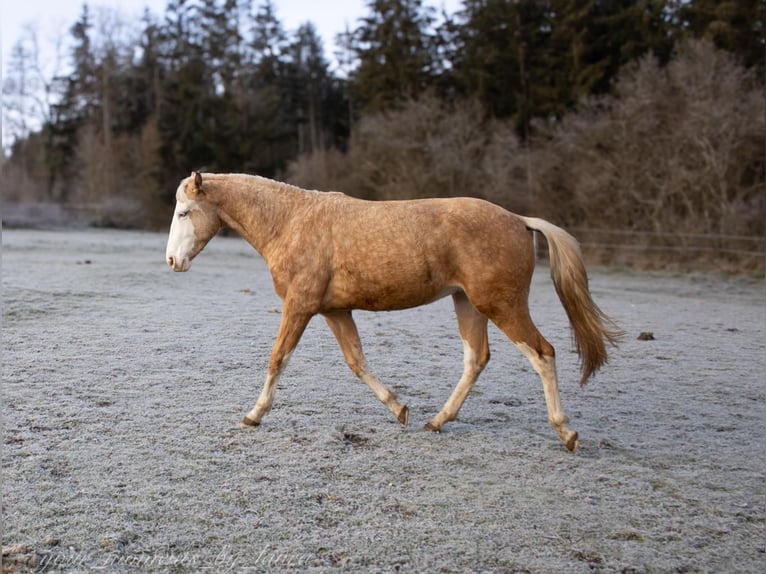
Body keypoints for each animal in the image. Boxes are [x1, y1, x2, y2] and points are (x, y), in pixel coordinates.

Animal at [165, 173, 620, 452]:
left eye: (184, 212)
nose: (172, 261)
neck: (292, 221)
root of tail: (519, 220)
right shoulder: (335, 311)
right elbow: (357, 362)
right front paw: (398, 408)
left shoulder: (300, 305)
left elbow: (278, 359)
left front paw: (253, 415)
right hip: (468, 304)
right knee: (476, 359)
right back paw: (437, 421)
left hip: (501, 305)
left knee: (542, 354)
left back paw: (566, 431)